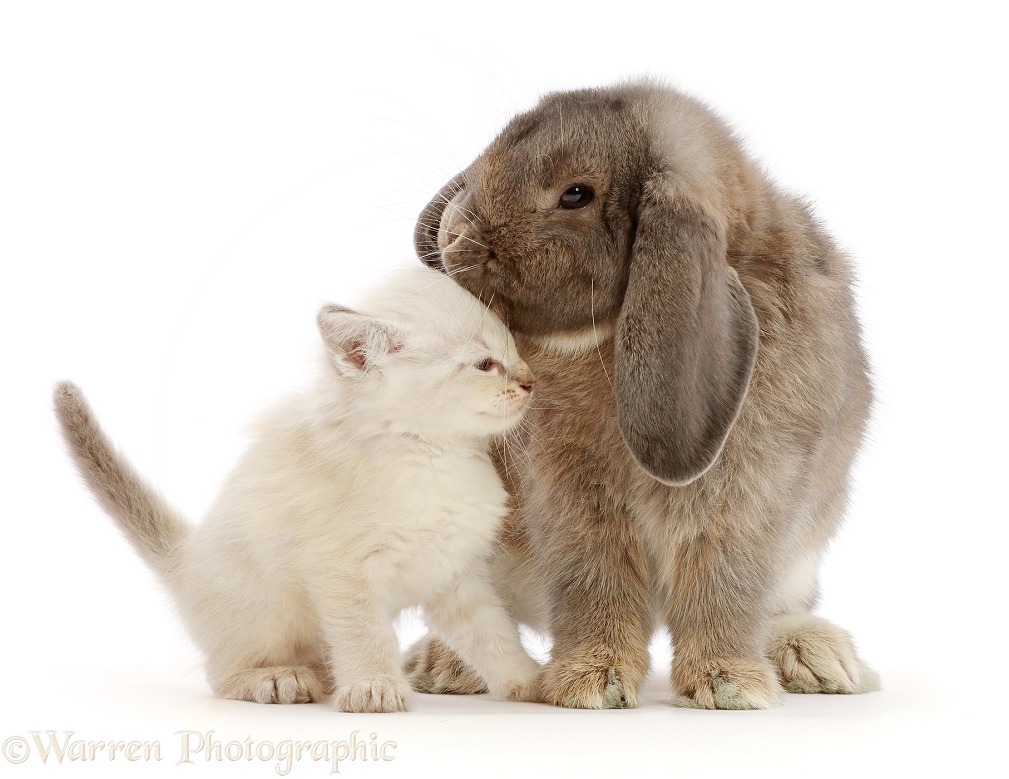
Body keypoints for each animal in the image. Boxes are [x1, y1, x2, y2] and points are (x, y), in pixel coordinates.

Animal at [53, 266, 544, 710]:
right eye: (485, 364)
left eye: (515, 352)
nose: (529, 382)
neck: (435, 456)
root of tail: (185, 560)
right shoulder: (342, 573)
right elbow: (366, 636)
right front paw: (374, 688)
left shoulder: (454, 573)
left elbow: (494, 634)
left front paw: (531, 682)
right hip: (268, 612)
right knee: (221, 673)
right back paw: (278, 679)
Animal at [405, 82, 879, 710]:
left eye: (575, 194)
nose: (452, 234)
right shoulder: (571, 496)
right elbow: (594, 583)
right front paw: (590, 683)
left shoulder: (746, 498)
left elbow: (723, 588)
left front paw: (729, 686)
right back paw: (447, 667)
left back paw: (819, 659)